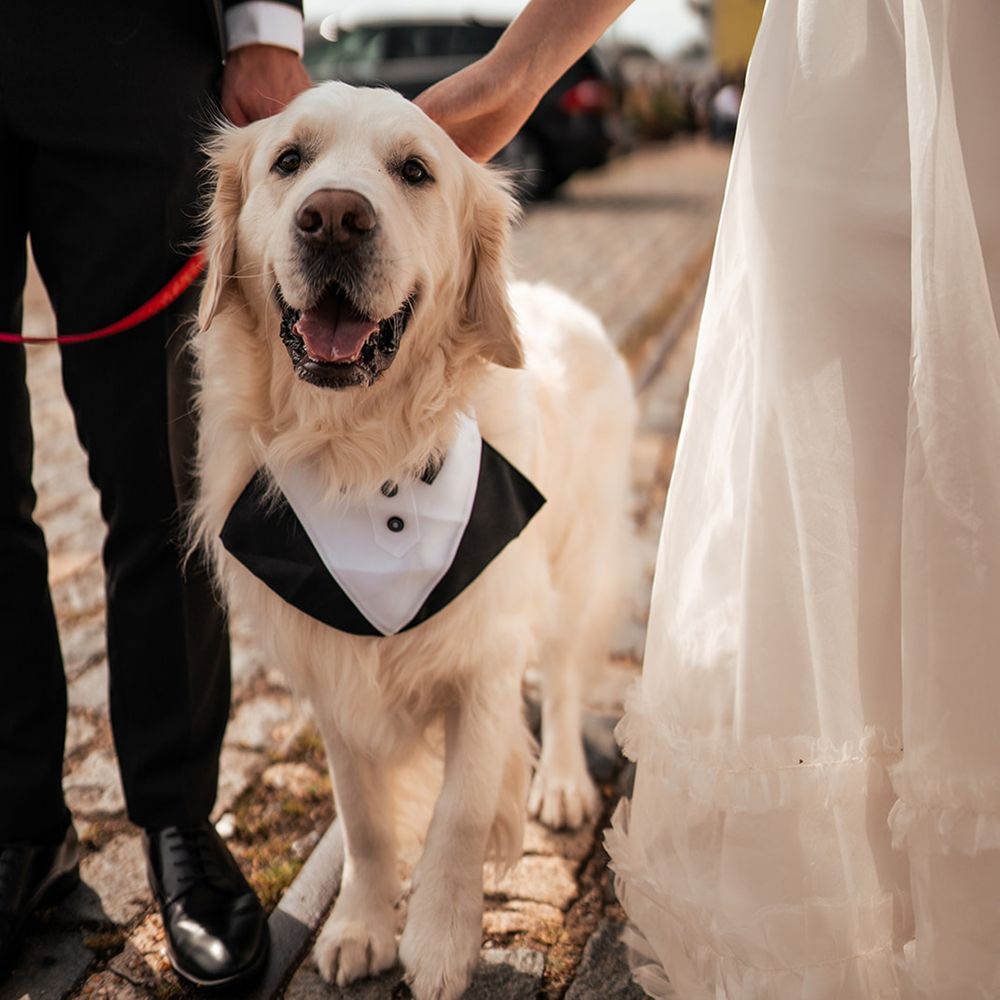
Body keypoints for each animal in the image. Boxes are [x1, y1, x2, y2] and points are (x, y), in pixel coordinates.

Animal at [191, 82, 636, 1000]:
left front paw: (437, 942)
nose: (332, 218)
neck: (363, 464)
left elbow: (459, 811)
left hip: (577, 563)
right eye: (289, 160)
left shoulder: (485, 656)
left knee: (566, 675)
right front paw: (363, 925)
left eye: (416, 171)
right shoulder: (331, 675)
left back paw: (563, 783)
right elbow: (363, 820)